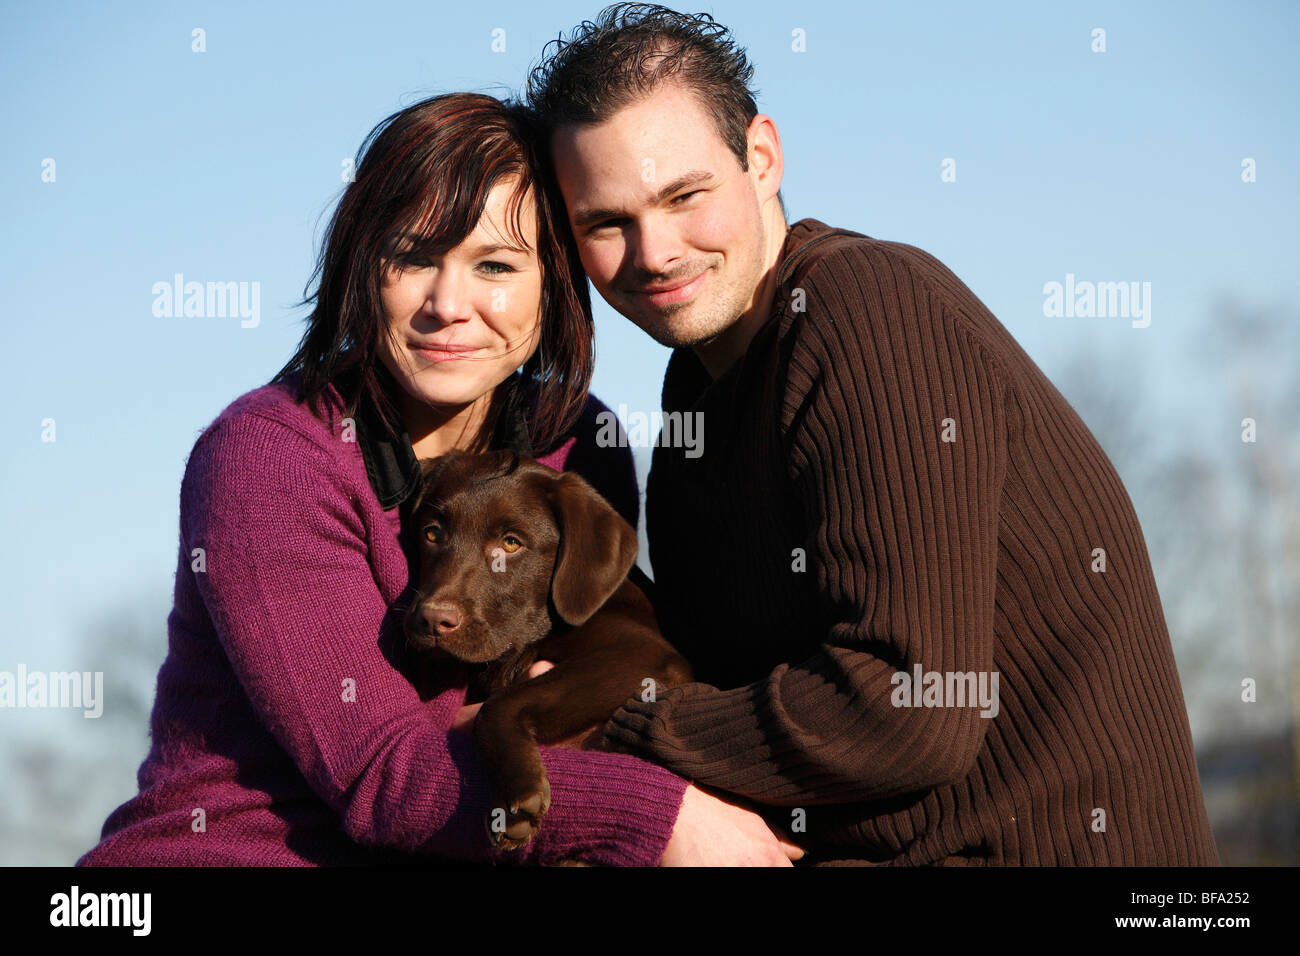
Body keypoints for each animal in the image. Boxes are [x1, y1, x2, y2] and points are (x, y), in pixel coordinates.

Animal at [403, 450, 691, 853]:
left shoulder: (643, 652)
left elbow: (499, 704)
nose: (431, 620)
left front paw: (515, 795)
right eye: (431, 534)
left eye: (511, 543)